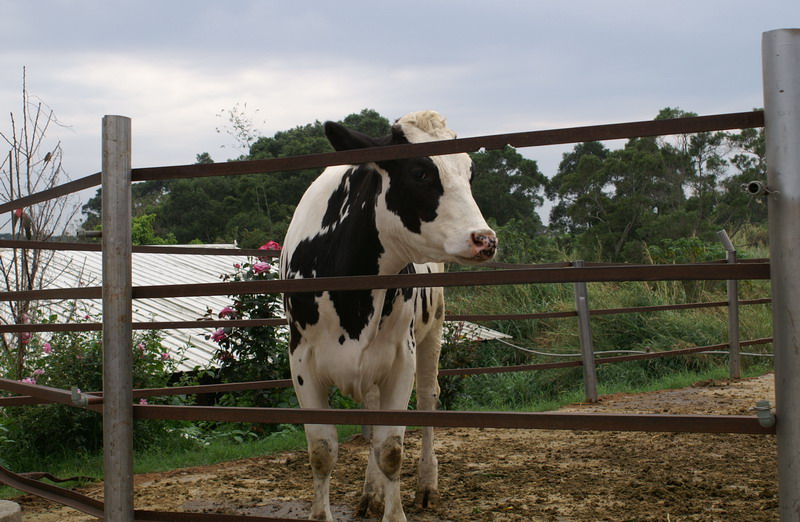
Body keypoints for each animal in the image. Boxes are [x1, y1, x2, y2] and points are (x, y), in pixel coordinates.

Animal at [280, 110, 494, 520]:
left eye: (469, 173)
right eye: (419, 172)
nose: (485, 239)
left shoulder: (400, 357)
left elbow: (391, 449)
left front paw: (395, 509)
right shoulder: (301, 360)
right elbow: (322, 452)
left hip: (433, 329)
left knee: (427, 399)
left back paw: (425, 484)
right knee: (372, 411)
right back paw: (370, 493)